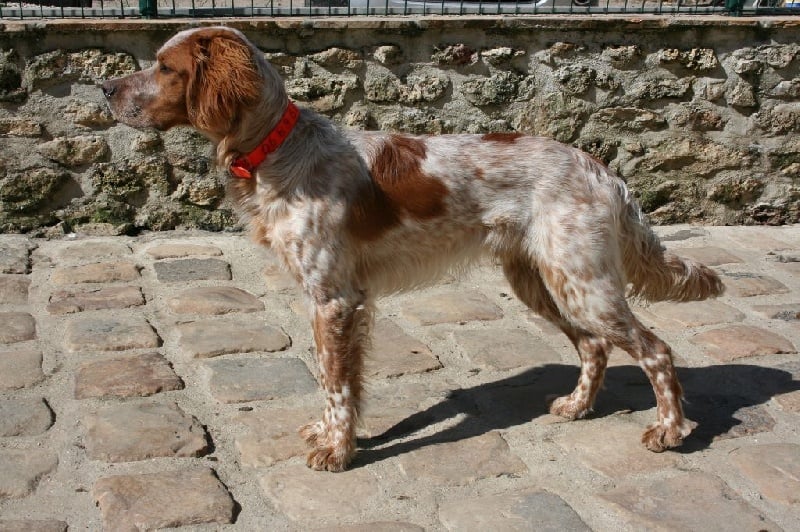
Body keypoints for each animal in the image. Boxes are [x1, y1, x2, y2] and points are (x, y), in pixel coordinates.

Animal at [100, 27, 724, 472]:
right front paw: (334, 436)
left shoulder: (335, 299)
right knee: (594, 345)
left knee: (655, 350)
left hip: (583, 282)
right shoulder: (338, 302)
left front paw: (338, 451)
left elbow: (335, 382)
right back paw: (576, 408)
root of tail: (602, 169)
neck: (280, 150)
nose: (106, 89)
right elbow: (338, 380)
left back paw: (669, 432)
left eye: (165, 67)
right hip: (542, 281)